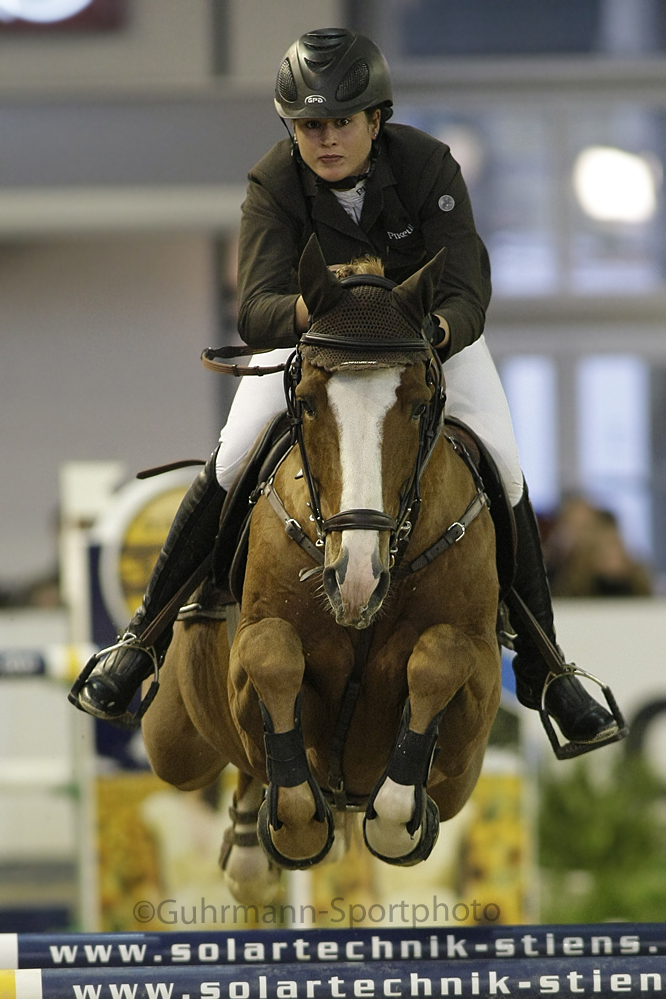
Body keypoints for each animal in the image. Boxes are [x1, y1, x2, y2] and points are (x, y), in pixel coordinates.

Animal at [143, 238, 500, 904]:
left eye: (419, 407)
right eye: (305, 403)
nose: (356, 579)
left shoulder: (473, 719)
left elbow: (440, 657)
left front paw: (395, 820)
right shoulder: (248, 660)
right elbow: (272, 655)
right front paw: (300, 823)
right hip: (172, 740)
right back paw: (254, 848)